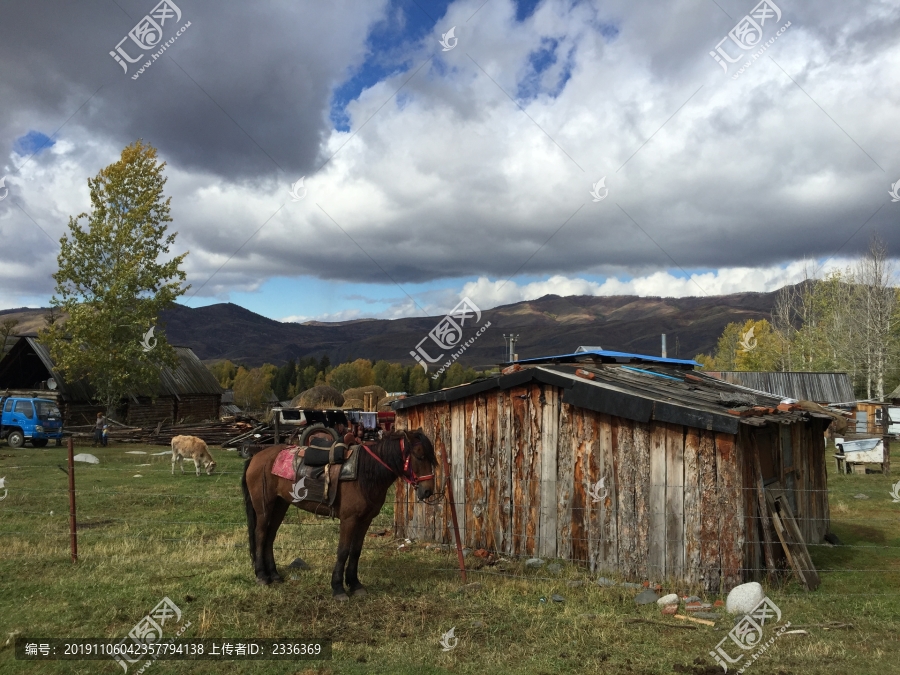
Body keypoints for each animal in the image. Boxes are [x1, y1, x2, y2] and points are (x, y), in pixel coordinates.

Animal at [239, 430, 436, 600]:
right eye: (419, 455)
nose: (427, 491)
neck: (365, 473)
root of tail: (256, 457)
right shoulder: (349, 520)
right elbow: (343, 551)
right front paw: (338, 588)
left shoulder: (365, 520)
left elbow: (355, 551)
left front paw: (355, 584)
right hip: (264, 507)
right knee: (260, 535)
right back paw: (262, 576)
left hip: (280, 505)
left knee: (270, 537)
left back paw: (274, 574)